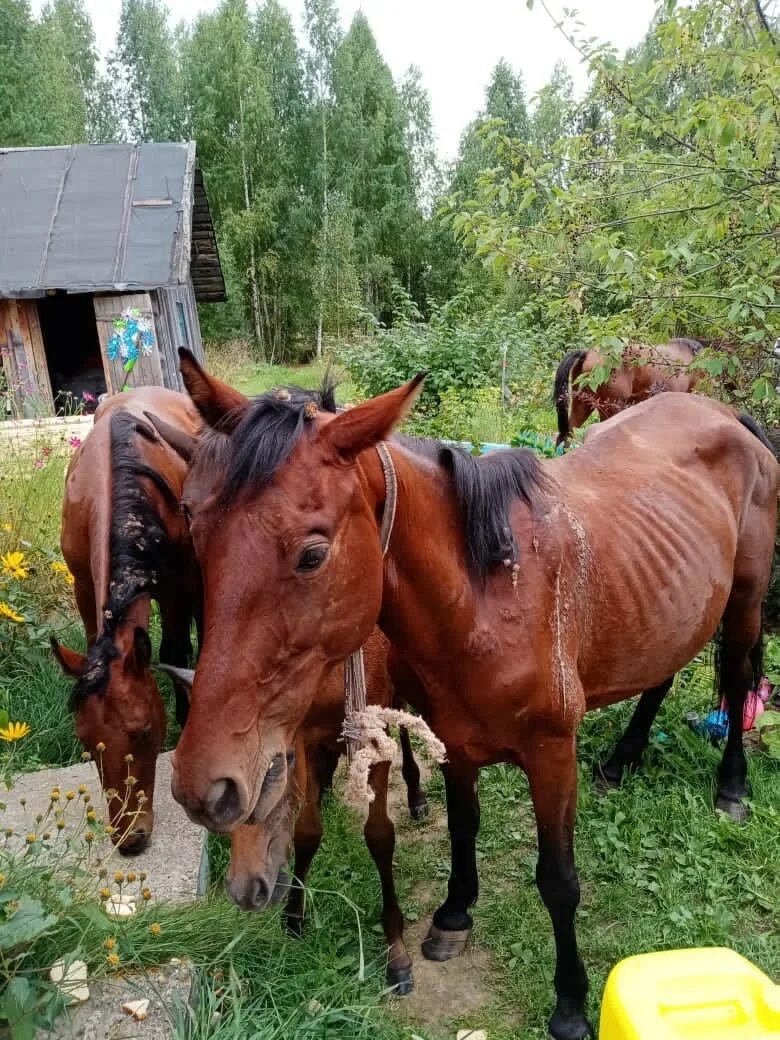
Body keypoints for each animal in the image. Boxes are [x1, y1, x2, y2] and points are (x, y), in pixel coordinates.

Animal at [51, 391, 201, 852]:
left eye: (143, 731)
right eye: (85, 740)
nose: (129, 838)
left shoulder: (178, 586)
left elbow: (174, 652)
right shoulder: (83, 584)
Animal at [166, 351, 780, 1040]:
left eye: (313, 553)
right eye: (194, 527)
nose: (205, 786)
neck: (485, 600)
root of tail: (725, 413)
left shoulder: (551, 754)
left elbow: (558, 880)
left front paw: (570, 1004)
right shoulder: (454, 742)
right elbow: (463, 827)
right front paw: (454, 914)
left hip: (745, 599)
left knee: (737, 675)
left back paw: (730, 786)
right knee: (663, 675)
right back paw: (622, 761)